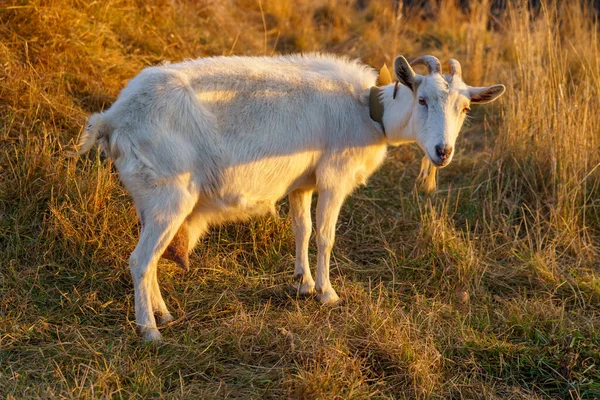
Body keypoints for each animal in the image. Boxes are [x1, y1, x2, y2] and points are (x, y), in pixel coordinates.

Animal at [75, 53, 506, 340]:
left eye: (465, 108)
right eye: (422, 99)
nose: (442, 152)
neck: (368, 111)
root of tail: (112, 119)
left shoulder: (303, 182)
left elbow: (302, 228)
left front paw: (303, 283)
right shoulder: (334, 176)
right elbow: (325, 235)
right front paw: (328, 293)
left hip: (151, 200)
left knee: (150, 258)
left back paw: (162, 313)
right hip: (170, 196)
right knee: (140, 260)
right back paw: (149, 330)